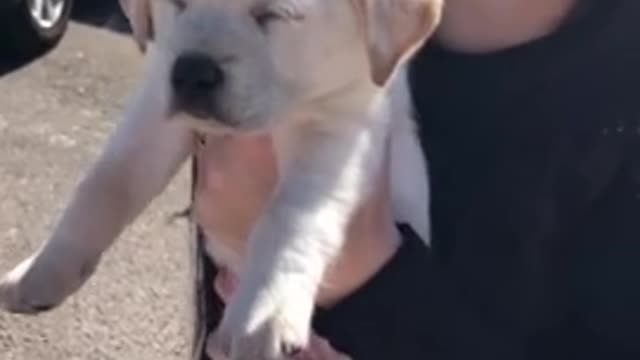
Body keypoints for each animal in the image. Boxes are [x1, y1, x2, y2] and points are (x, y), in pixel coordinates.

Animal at [0, 1, 440, 358]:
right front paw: (43, 271)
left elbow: (290, 217)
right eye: (178, 2)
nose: (192, 70)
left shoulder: (339, 130)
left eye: (272, 14)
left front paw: (265, 311)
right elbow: (104, 184)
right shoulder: (155, 114)